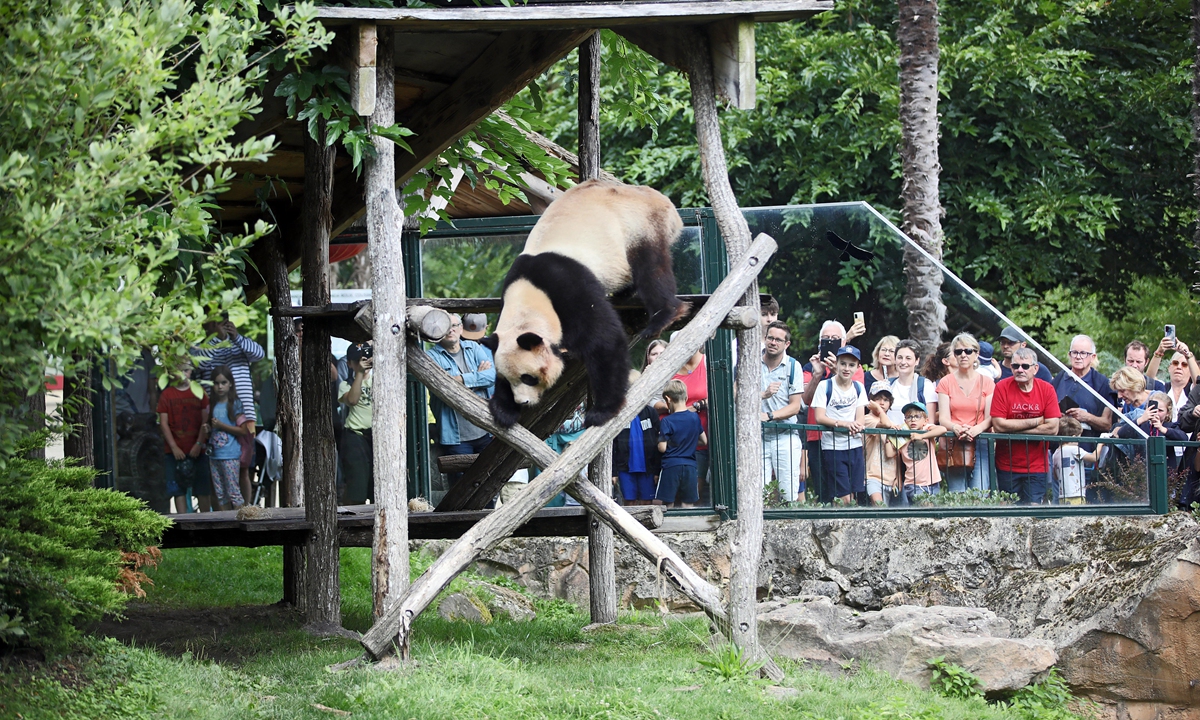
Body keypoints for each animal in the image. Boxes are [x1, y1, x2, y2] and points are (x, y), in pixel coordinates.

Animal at [480, 179, 687, 429]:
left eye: (528, 378)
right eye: (508, 379)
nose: (522, 402)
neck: (530, 296)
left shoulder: (568, 287)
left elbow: (605, 338)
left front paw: (602, 411)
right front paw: (504, 409)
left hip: (639, 224)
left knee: (651, 269)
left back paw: (662, 316)